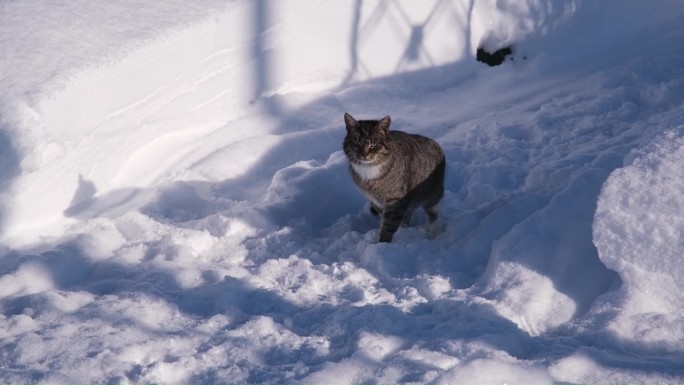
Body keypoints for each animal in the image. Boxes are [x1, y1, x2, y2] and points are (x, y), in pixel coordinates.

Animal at [344, 112, 446, 242]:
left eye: (374, 144)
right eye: (356, 143)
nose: (364, 155)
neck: (370, 170)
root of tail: (436, 144)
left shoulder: (395, 199)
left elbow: (389, 224)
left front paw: (382, 243)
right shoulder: (376, 201)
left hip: (433, 191)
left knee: (434, 212)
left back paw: (434, 232)